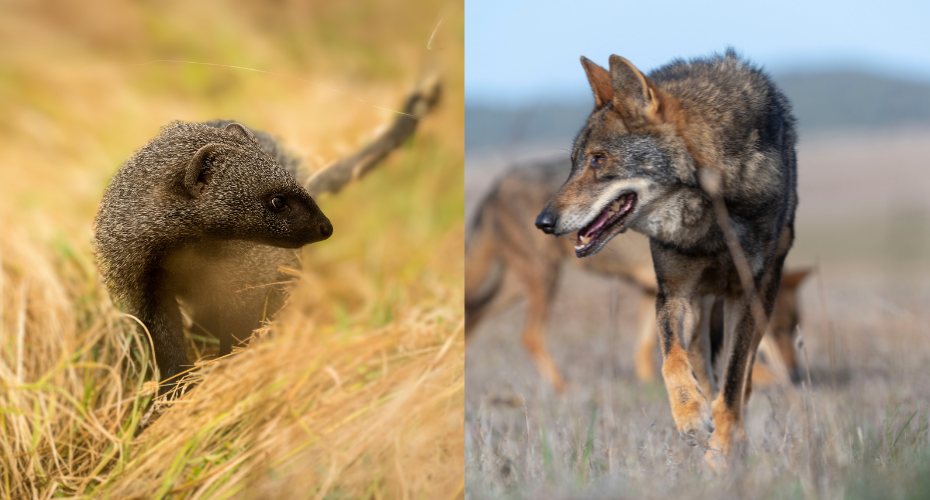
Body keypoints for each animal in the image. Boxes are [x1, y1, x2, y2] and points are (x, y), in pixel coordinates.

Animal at [466, 160, 809, 392]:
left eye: (793, 328)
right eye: (776, 329)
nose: (796, 375)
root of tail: (498, 184)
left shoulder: (652, 291)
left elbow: (644, 348)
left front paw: (650, 386)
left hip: (517, 285)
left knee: (475, 315)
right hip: (543, 280)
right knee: (529, 336)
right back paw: (563, 387)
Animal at [535, 50, 798, 461]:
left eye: (598, 160)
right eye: (574, 162)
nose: (543, 222)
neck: (708, 213)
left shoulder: (746, 296)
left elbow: (733, 383)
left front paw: (722, 450)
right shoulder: (674, 294)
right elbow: (671, 359)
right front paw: (690, 414)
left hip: (761, 299)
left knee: (743, 377)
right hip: (704, 306)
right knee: (702, 365)